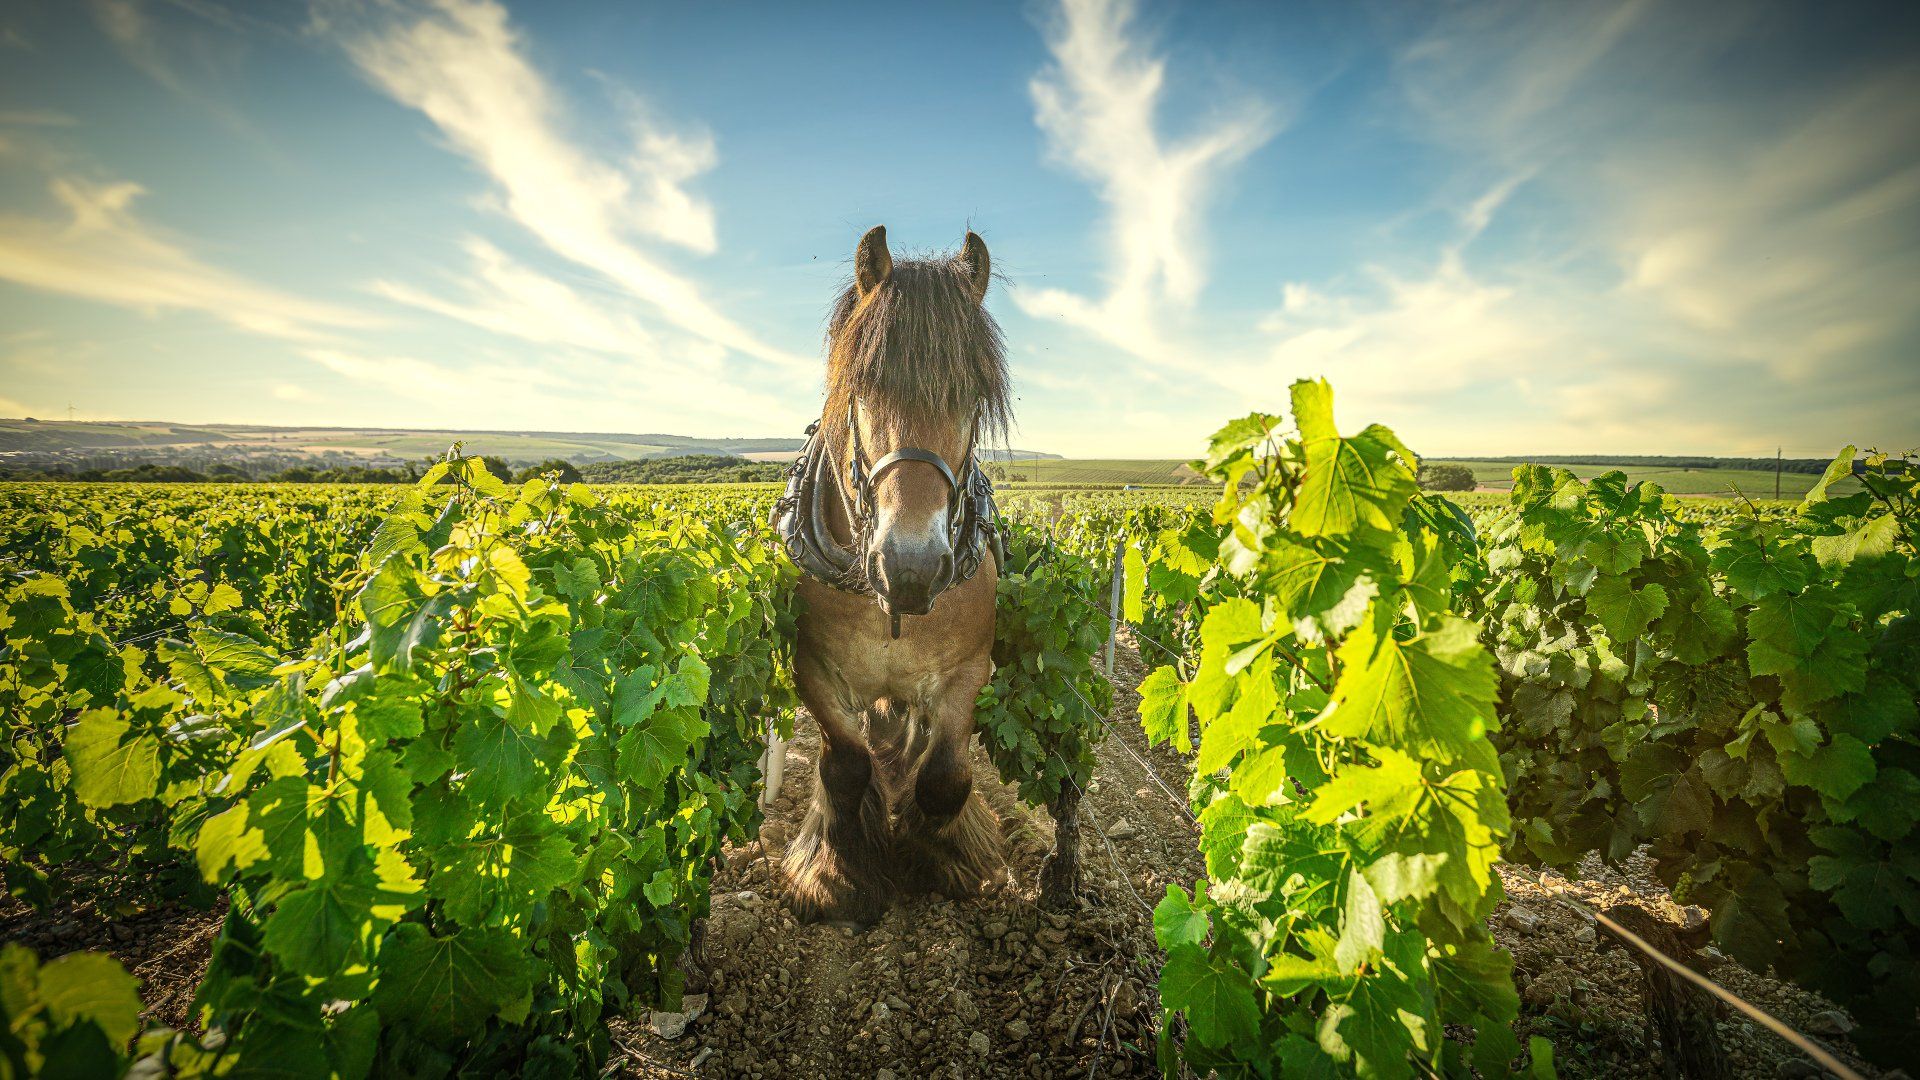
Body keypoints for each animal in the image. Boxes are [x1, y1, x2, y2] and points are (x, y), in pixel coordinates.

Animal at [772, 225, 1012, 927]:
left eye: (971, 396)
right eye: (862, 386)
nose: (910, 565)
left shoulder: (968, 670)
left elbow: (946, 778)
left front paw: (947, 857)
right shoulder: (812, 667)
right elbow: (846, 766)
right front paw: (837, 871)